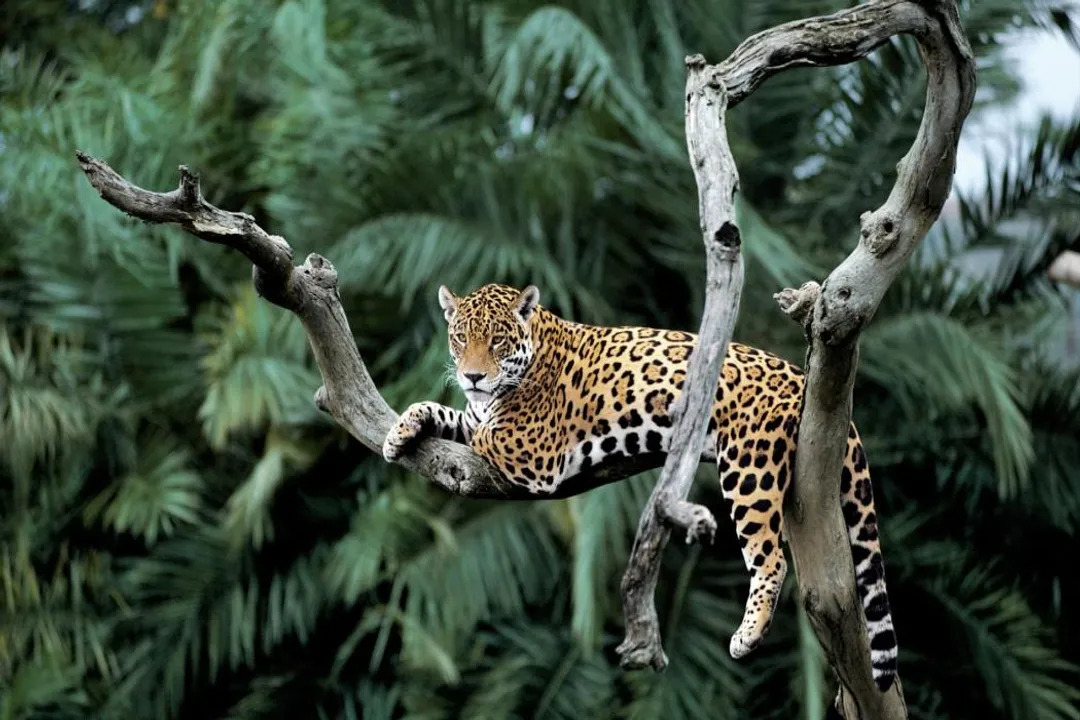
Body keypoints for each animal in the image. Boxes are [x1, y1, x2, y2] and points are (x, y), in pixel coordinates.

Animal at [382, 282, 899, 692]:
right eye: (460, 338)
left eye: (497, 341)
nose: (472, 376)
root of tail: (801, 376)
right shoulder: (479, 415)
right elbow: (448, 412)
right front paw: (400, 431)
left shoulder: (532, 449)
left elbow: (484, 431)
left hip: (748, 467)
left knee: (770, 557)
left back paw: (747, 635)